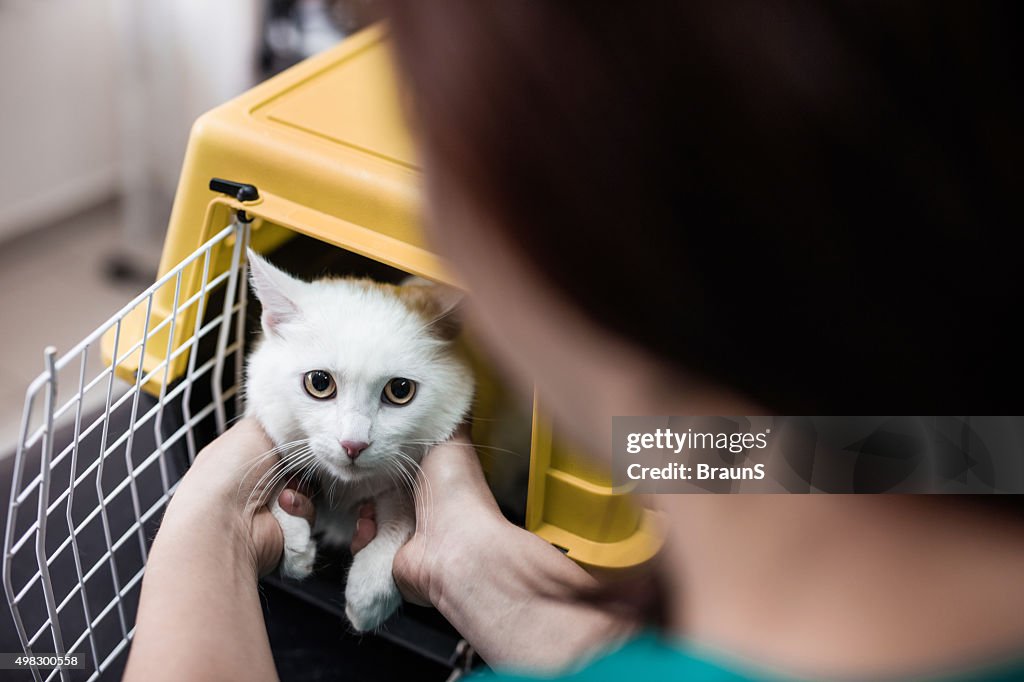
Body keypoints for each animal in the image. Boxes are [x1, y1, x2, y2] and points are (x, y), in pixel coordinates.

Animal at [243, 246, 475, 630]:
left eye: (400, 390)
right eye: (319, 382)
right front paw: (292, 539)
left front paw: (371, 589)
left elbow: (405, 510)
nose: (354, 444)